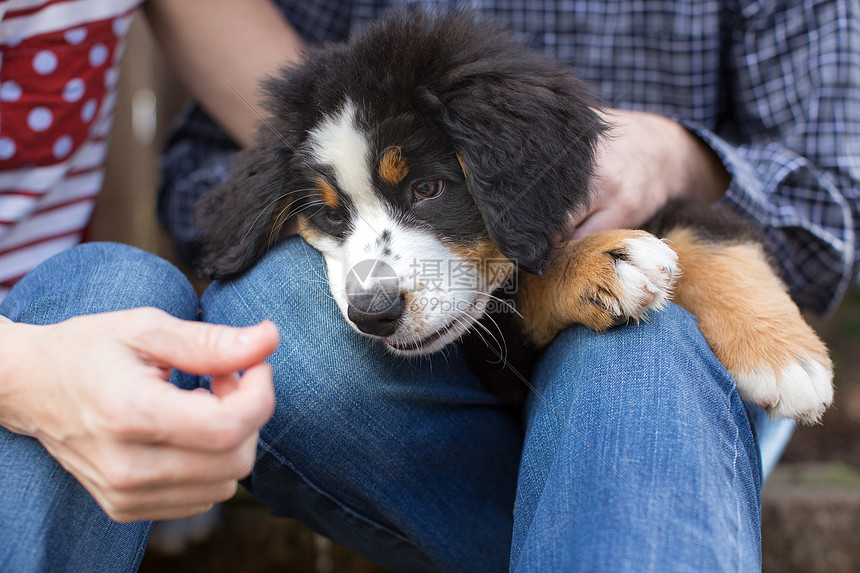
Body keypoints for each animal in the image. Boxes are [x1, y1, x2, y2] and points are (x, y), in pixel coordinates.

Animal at [193, 8, 832, 420]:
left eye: (428, 188)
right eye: (329, 216)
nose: (373, 314)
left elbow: (715, 236)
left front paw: (784, 359)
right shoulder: (498, 364)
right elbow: (518, 295)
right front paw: (601, 262)